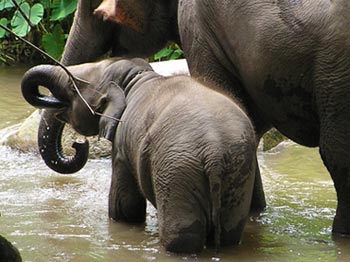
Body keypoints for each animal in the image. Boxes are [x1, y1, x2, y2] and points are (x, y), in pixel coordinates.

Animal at [21, 57, 258, 254]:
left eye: (73, 87)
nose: (78, 144)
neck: (135, 77)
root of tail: (214, 153)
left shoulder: (122, 144)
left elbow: (125, 208)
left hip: (177, 170)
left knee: (181, 239)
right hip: (238, 170)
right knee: (228, 233)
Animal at [39, 0, 350, 235]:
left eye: (94, 9)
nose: (77, 145)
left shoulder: (199, 26)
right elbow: (250, 121)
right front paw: (255, 213)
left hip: (337, 71)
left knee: (336, 154)